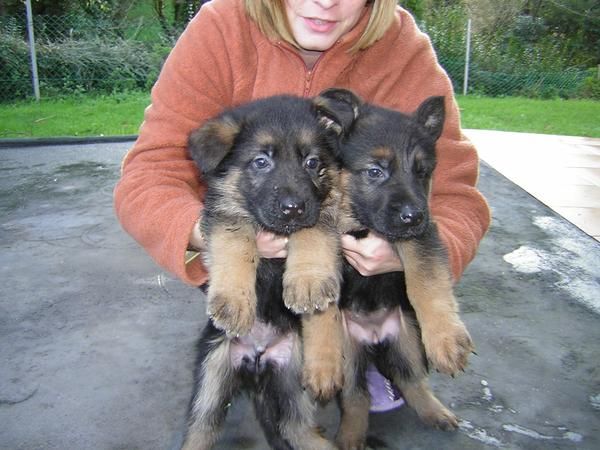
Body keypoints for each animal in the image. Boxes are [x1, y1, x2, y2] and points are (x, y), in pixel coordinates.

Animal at [182, 93, 346, 448]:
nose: (293, 208)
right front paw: (234, 301)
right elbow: (236, 241)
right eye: (260, 162)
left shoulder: (323, 209)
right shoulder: (222, 214)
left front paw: (308, 279)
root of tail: (258, 357)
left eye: (312, 162)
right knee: (202, 426)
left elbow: (312, 232)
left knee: (296, 427)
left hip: (292, 376)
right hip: (213, 372)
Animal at [316, 89, 476, 450]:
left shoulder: (421, 238)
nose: (414, 216)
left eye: (422, 172)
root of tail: (375, 335)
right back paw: (350, 436)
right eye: (375, 171)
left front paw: (447, 338)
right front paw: (320, 361)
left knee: (412, 380)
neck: (358, 221)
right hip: (351, 354)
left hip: (409, 340)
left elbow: (426, 280)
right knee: (355, 395)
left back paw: (435, 412)